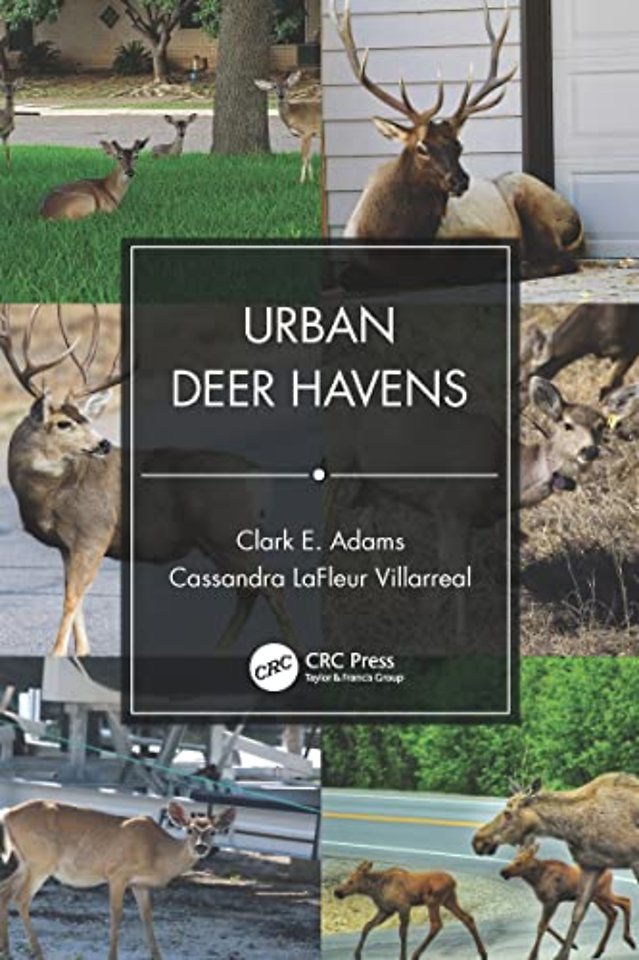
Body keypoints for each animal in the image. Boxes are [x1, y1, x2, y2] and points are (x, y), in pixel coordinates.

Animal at [0, 304, 297, 657]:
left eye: (86, 419)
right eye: (64, 423)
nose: (103, 444)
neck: (48, 494)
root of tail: (262, 479)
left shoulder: (94, 531)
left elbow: (72, 598)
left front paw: (57, 655)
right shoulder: (66, 544)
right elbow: (77, 600)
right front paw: (83, 652)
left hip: (228, 532)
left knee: (272, 587)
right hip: (217, 541)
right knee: (247, 592)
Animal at [0, 797, 235, 960]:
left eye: (213, 831)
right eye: (189, 830)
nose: (201, 847)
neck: (156, 854)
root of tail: (8, 813)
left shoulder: (139, 884)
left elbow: (147, 916)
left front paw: (157, 956)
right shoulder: (117, 873)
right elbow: (116, 914)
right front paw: (112, 956)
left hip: (26, 862)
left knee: (5, 891)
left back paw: (7, 950)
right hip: (41, 861)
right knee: (21, 898)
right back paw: (37, 953)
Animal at [330, 0, 584, 278]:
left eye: (459, 146)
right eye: (422, 147)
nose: (460, 180)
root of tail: (575, 217)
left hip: (533, 203)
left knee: (562, 259)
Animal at [334, 860, 487, 960]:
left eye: (351, 881)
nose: (337, 892)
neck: (375, 889)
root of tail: (454, 881)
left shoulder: (403, 907)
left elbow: (402, 933)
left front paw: (403, 956)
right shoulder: (386, 910)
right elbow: (367, 926)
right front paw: (357, 954)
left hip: (433, 901)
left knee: (436, 924)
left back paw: (415, 954)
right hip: (449, 900)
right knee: (468, 918)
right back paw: (483, 953)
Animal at [501, 843, 636, 960]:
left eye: (519, 863)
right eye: (513, 859)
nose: (503, 872)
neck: (536, 880)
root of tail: (610, 873)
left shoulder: (552, 901)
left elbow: (541, 926)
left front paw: (532, 956)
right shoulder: (548, 902)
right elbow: (546, 925)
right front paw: (573, 945)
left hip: (603, 894)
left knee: (625, 901)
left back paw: (629, 940)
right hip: (597, 898)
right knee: (613, 913)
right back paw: (599, 951)